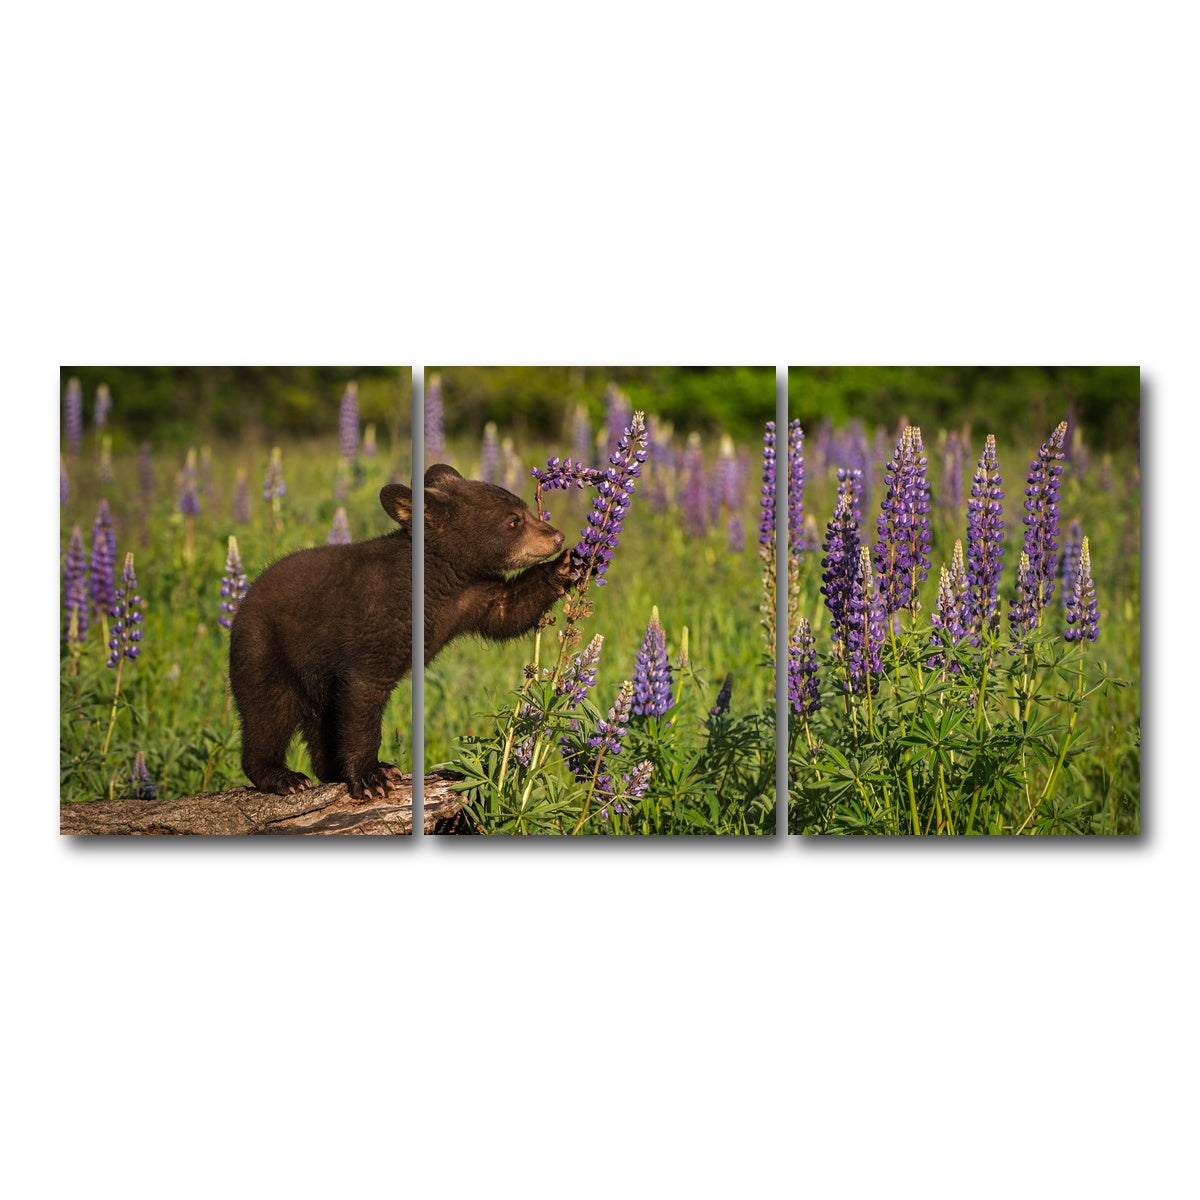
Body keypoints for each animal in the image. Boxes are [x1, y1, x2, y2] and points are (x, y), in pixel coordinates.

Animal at [228, 463, 573, 799]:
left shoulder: (472, 595)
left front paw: (567, 565)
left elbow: (508, 610)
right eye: (514, 521)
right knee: (268, 712)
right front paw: (371, 776)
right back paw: (283, 777)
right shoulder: (375, 626)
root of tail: (243, 602)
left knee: (321, 720)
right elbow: (362, 700)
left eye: (526, 510)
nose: (557, 536)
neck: (439, 578)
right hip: (264, 648)